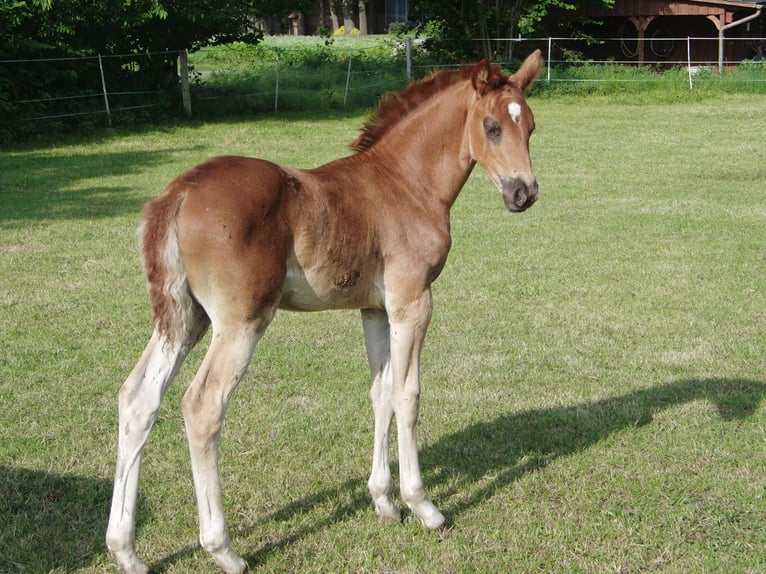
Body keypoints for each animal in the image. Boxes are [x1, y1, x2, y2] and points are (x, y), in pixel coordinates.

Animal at [106, 50, 542, 574]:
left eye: (531, 127)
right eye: (492, 127)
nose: (524, 194)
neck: (406, 183)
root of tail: (182, 190)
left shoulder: (375, 310)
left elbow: (381, 393)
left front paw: (383, 502)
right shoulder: (413, 303)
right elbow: (409, 395)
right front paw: (423, 506)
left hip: (186, 319)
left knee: (138, 399)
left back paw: (126, 551)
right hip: (240, 321)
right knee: (203, 406)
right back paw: (224, 549)